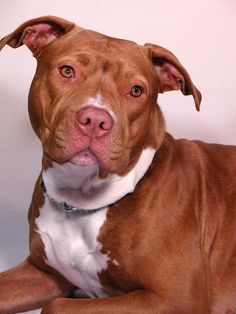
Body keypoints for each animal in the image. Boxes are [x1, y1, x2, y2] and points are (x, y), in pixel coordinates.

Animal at [0, 15, 236, 314]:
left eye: (136, 90)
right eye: (67, 71)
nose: (95, 120)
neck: (80, 201)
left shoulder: (177, 298)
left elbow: (56, 306)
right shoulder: (43, 274)